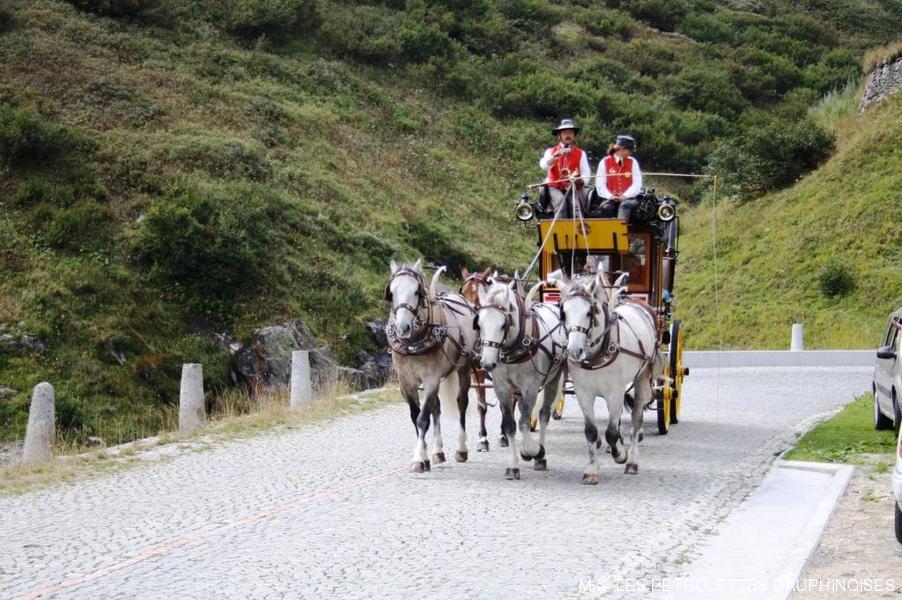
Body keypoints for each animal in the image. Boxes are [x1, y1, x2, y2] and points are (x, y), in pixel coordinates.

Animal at [385, 259, 478, 473]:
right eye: (391, 293)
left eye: (416, 292)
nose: (402, 328)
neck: (413, 343)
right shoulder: (405, 383)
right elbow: (415, 416)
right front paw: (425, 456)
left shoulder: (431, 379)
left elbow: (422, 419)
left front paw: (419, 459)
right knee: (436, 408)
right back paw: (438, 452)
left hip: (464, 368)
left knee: (461, 402)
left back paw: (461, 449)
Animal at [475, 276, 568, 480]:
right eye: (479, 324)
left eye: (503, 324)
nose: (487, 363)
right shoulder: (502, 388)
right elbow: (510, 425)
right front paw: (513, 466)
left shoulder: (530, 388)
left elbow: (524, 422)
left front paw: (533, 451)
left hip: (552, 379)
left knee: (543, 415)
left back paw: (541, 458)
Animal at [559, 272, 660, 484]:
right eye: (563, 312)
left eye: (589, 312)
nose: (574, 350)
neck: (597, 353)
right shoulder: (584, 393)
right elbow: (591, 431)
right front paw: (591, 469)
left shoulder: (615, 392)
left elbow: (612, 432)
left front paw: (620, 454)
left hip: (642, 377)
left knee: (636, 418)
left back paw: (632, 461)